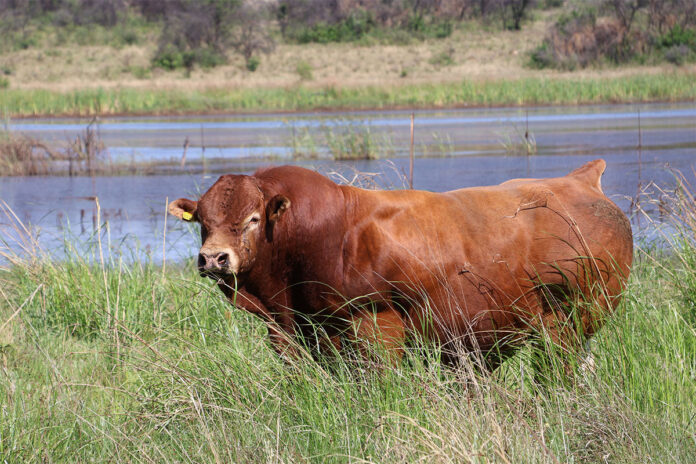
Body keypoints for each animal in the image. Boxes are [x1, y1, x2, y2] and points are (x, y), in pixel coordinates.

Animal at [169, 159, 632, 370]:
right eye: (203, 221)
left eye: (252, 219)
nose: (213, 258)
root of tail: (578, 180)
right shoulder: (291, 335)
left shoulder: (376, 328)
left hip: (573, 319)